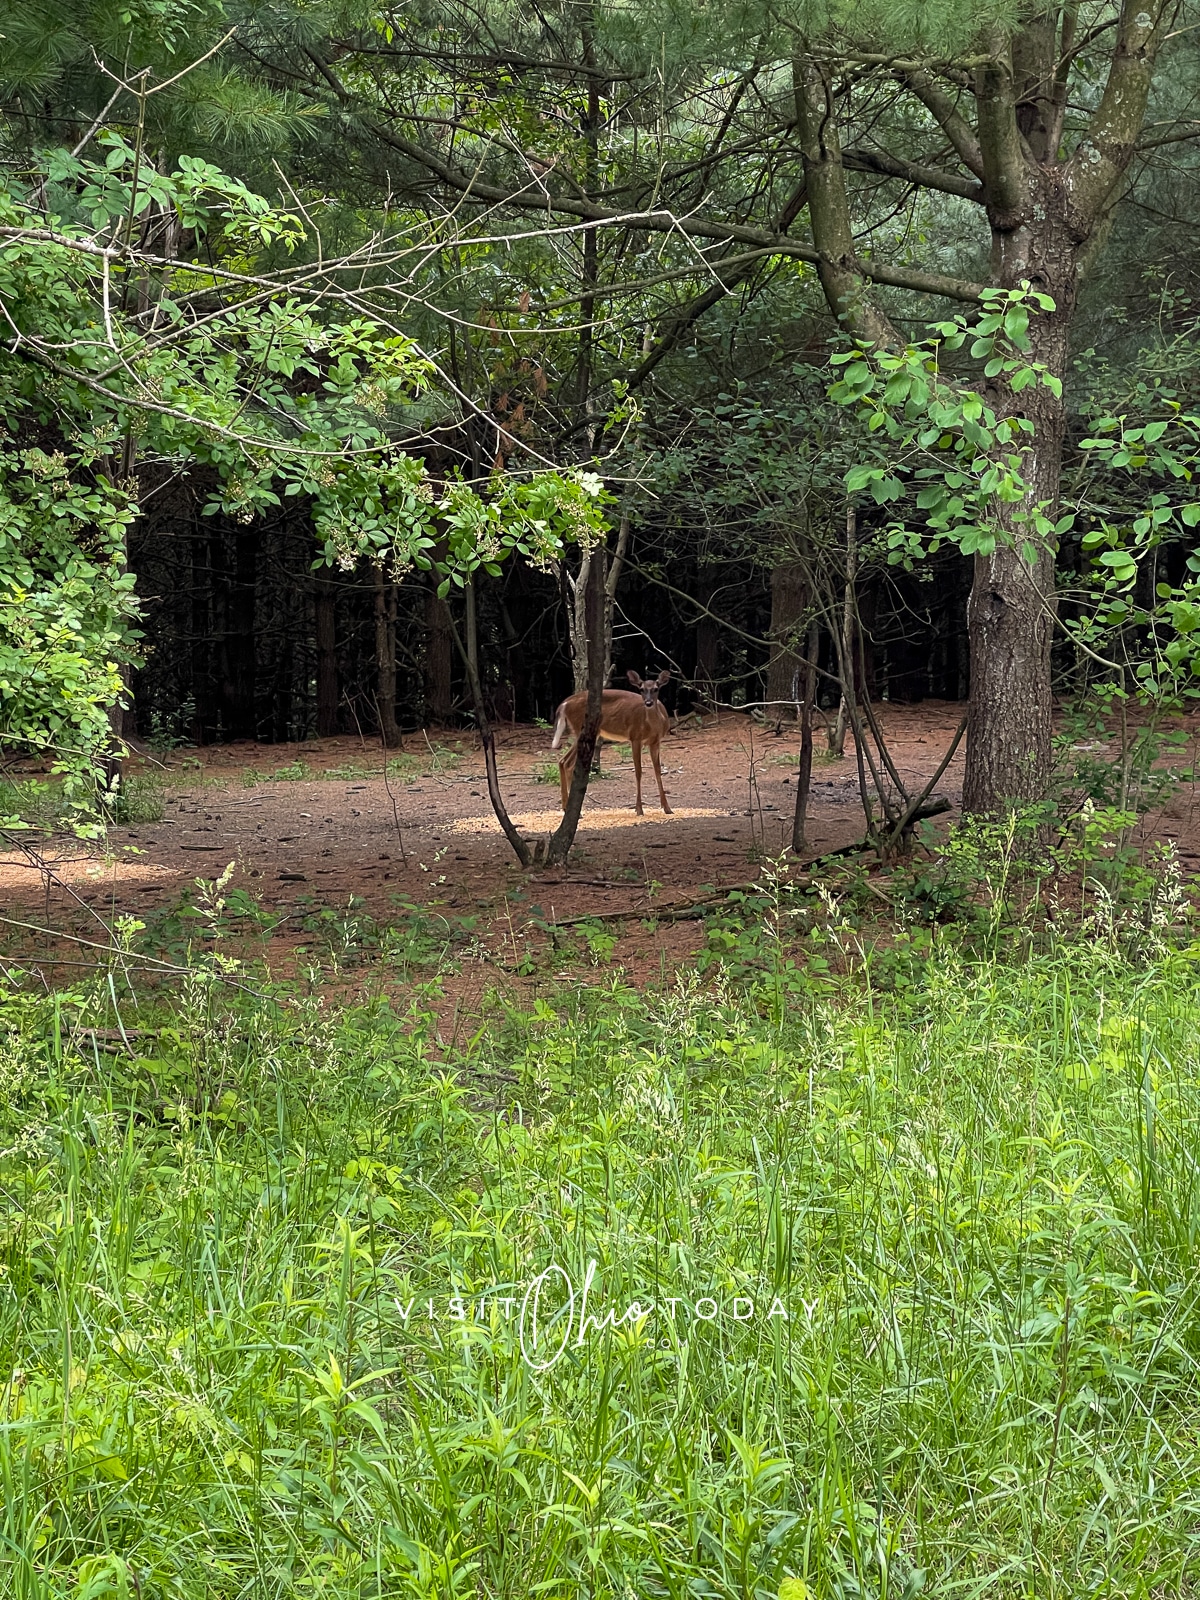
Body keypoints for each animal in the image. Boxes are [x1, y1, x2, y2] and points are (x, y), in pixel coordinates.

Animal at [550, 668, 672, 812]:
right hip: (581, 729)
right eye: (641, 689)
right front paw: (639, 809)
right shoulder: (635, 737)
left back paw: (566, 807)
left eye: (656, 689)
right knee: (568, 763)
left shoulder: (655, 741)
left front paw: (667, 808)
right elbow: (638, 772)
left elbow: (658, 771)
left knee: (563, 761)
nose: (648, 703)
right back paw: (574, 809)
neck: (653, 726)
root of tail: (564, 704)